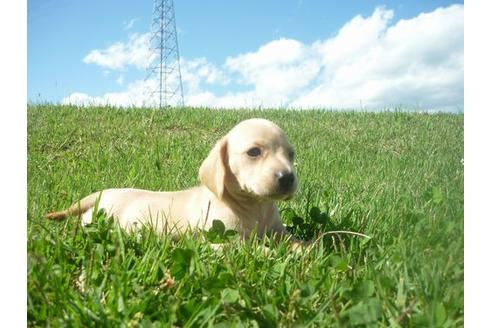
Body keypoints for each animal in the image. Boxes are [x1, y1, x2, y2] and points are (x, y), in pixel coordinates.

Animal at [47, 119, 300, 242]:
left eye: (291, 154)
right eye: (254, 152)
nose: (288, 177)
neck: (256, 207)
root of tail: (101, 195)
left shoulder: (279, 233)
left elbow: (293, 242)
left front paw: (308, 248)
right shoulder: (226, 243)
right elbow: (263, 250)